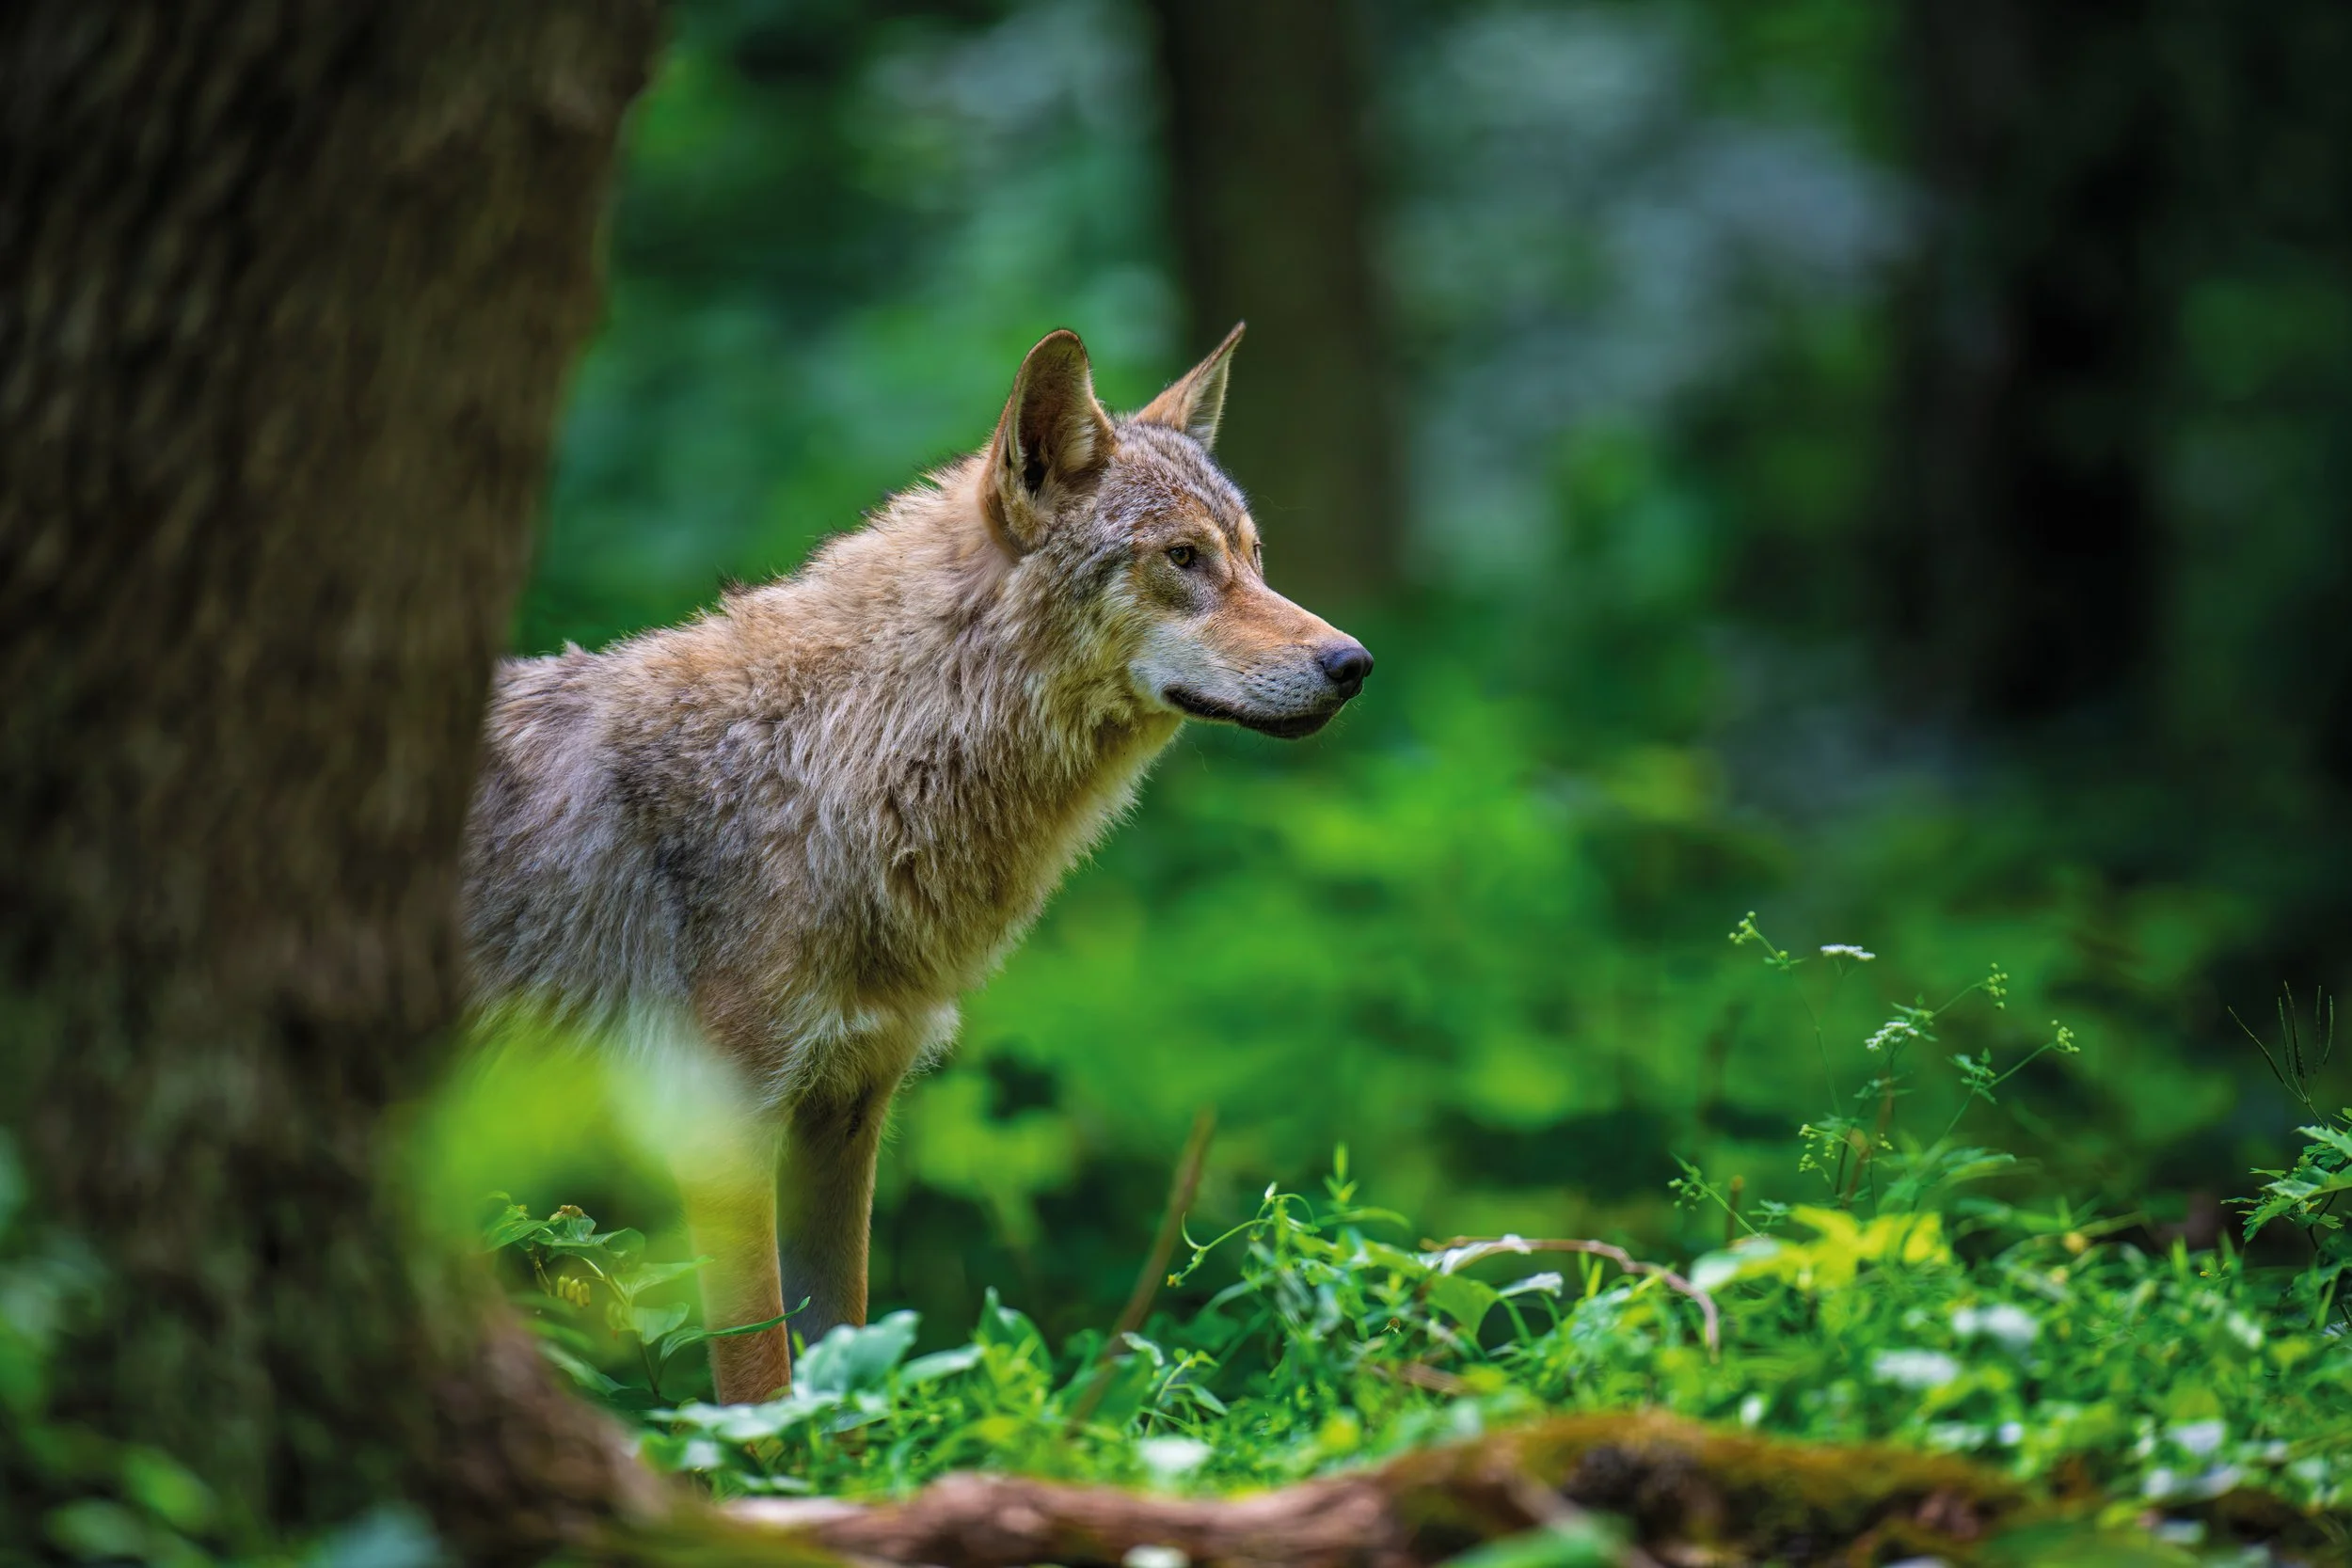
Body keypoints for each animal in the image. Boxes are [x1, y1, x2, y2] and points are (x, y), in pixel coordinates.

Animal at [461, 325, 1372, 1403]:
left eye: (1253, 558)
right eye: (1182, 558)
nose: (1353, 663)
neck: (841, 758)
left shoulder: (846, 1112)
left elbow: (839, 1366)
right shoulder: (720, 1133)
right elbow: (761, 1388)